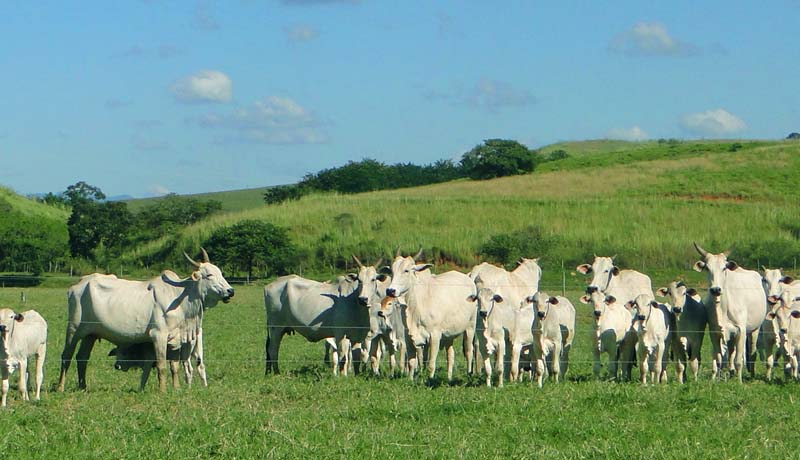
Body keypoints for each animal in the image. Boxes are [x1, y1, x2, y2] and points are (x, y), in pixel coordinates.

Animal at [57, 250, 233, 394]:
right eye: (209, 275)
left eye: (220, 273)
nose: (230, 291)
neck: (180, 297)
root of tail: (79, 283)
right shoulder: (158, 335)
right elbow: (162, 366)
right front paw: (162, 391)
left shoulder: (176, 339)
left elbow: (175, 367)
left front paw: (176, 388)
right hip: (74, 329)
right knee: (67, 355)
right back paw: (60, 387)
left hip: (91, 334)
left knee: (82, 357)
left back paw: (83, 387)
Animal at [386, 248, 476, 380]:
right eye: (392, 271)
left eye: (406, 270)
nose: (390, 290)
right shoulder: (409, 336)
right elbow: (412, 362)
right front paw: (410, 380)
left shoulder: (435, 336)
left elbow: (431, 363)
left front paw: (430, 379)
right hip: (449, 335)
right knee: (450, 355)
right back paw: (449, 378)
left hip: (470, 327)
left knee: (469, 351)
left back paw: (469, 374)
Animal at [692, 243, 768, 382]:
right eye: (707, 268)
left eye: (724, 268)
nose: (716, 290)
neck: (723, 307)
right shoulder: (715, 332)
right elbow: (718, 359)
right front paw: (713, 379)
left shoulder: (741, 330)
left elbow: (739, 360)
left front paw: (739, 382)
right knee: (731, 353)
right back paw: (731, 372)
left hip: (755, 329)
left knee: (751, 353)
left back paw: (751, 374)